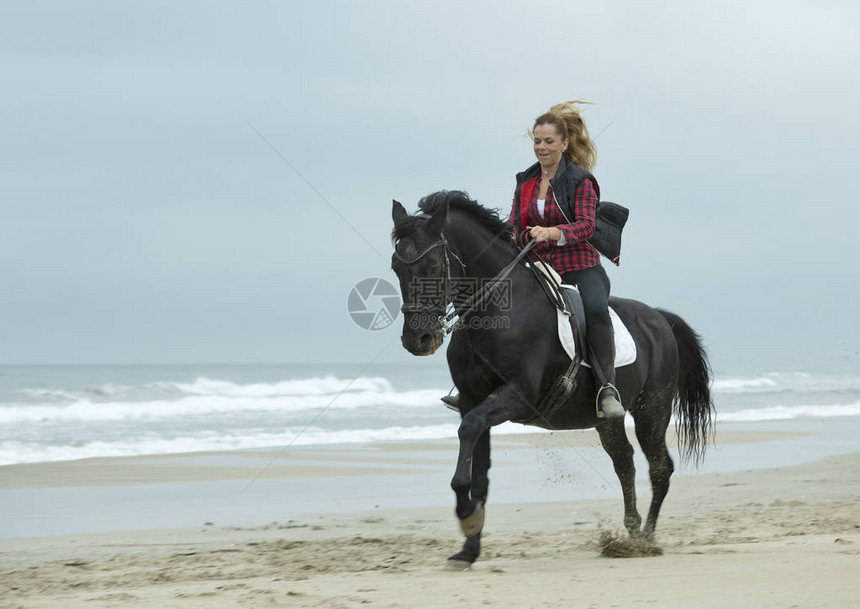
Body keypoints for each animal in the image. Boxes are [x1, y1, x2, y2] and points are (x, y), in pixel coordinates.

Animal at [390, 191, 712, 564]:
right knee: (625, 464)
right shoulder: (473, 400)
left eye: (432, 266)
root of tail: (660, 319)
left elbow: (468, 434)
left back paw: (645, 539)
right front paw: (469, 547)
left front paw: (467, 515)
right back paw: (630, 534)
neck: (497, 312)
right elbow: (479, 471)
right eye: (396, 267)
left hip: (653, 410)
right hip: (607, 420)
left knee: (660, 469)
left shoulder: (516, 396)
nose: (417, 340)